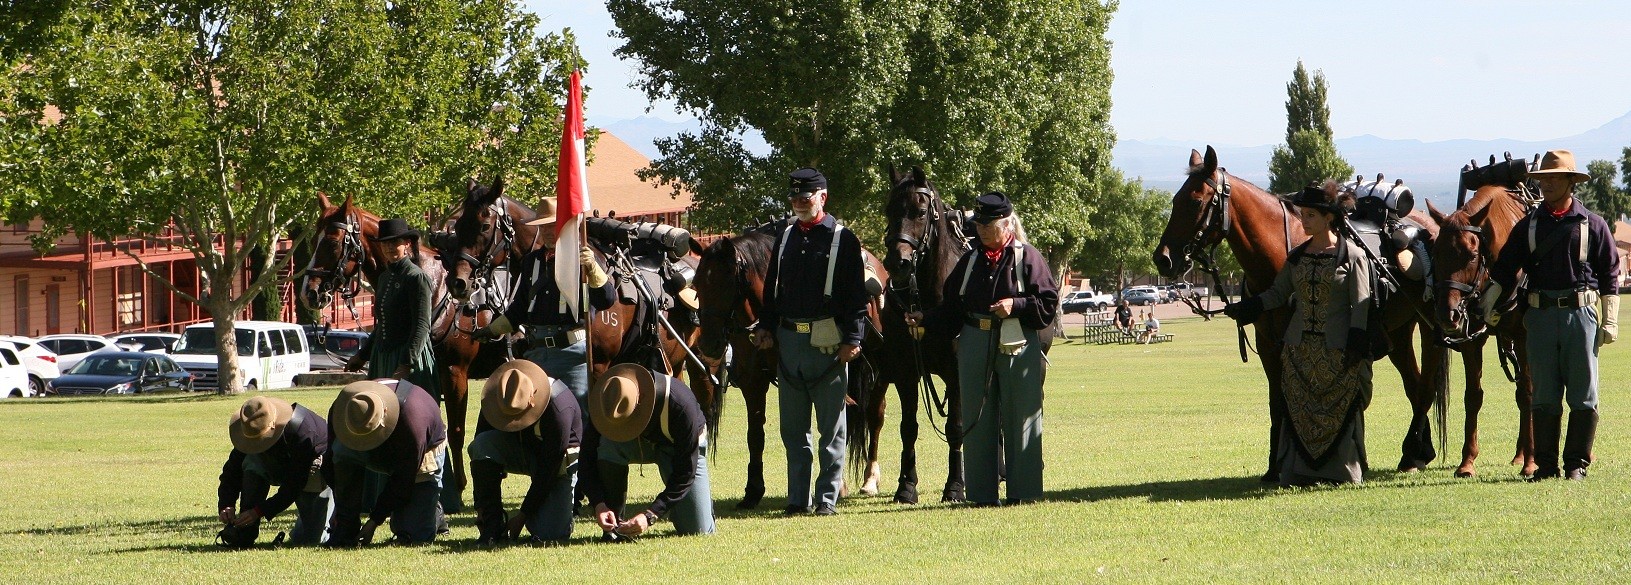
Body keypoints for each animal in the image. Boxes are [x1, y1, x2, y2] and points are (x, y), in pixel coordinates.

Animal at [1148, 145, 1454, 475]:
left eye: (1196, 201)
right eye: (1175, 200)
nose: (1164, 259)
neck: (1278, 256)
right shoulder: (1269, 345)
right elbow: (1276, 403)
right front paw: (1273, 468)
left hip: (1430, 328)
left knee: (1425, 388)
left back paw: (1412, 452)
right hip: (1397, 331)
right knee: (1414, 385)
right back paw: (1419, 452)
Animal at [1428, 176, 1539, 479]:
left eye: (1471, 253)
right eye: (1435, 253)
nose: (1448, 315)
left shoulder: (1525, 336)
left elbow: (1527, 392)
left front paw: (1531, 463)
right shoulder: (1472, 341)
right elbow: (1473, 396)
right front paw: (1467, 461)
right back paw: (1520, 452)